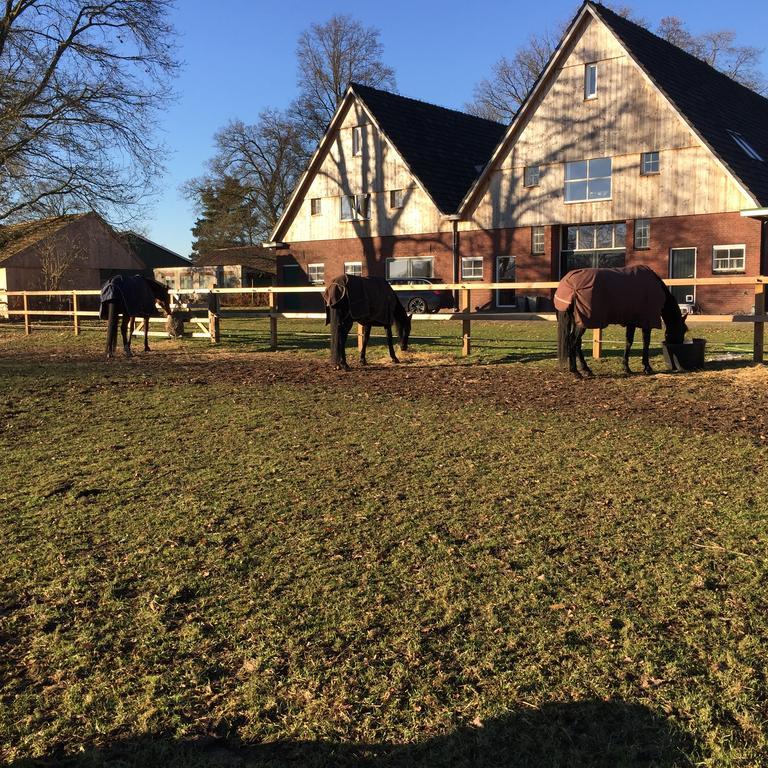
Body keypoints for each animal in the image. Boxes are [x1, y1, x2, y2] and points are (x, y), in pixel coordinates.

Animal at [556, 266, 688, 380]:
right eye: (684, 330)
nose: (680, 343)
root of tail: (568, 284)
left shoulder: (631, 322)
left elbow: (628, 342)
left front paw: (626, 367)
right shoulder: (646, 322)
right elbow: (646, 342)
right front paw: (647, 367)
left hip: (579, 321)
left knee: (577, 343)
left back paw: (586, 370)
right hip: (582, 321)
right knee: (572, 342)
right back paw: (576, 372)